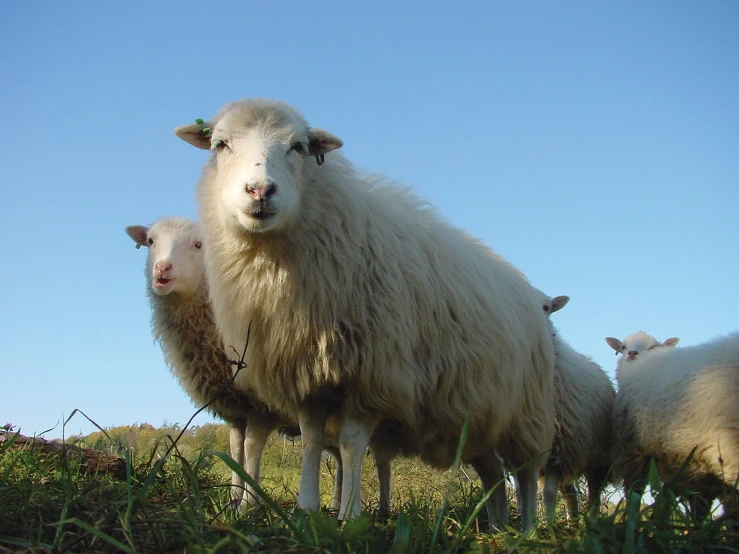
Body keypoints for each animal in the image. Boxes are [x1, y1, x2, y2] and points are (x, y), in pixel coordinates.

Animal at [173, 98, 556, 528]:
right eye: (220, 145)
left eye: (299, 147)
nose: (260, 190)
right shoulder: (307, 377)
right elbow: (311, 441)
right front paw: (307, 508)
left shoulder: (373, 376)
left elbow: (351, 446)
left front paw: (350, 515)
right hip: (478, 418)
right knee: (492, 471)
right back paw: (495, 525)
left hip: (527, 415)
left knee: (526, 475)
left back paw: (527, 528)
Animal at [536, 296, 620, 520]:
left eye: (547, 307)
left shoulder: (557, 452)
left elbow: (548, 495)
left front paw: (548, 527)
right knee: (571, 493)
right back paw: (572, 522)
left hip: (597, 459)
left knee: (594, 494)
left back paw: (591, 521)